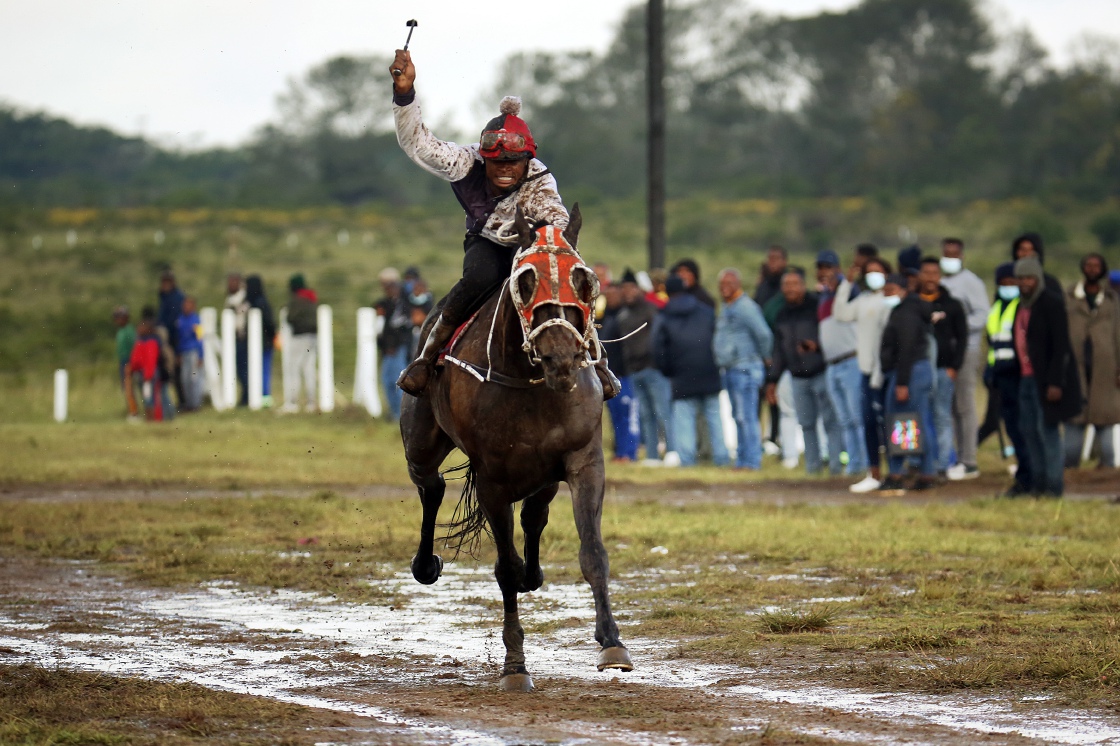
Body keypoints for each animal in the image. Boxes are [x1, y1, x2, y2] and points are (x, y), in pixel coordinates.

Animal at [400, 204, 631, 689]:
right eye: (525, 281)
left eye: (584, 280)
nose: (561, 356)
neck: (531, 382)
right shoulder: (492, 481)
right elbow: (504, 569)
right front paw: (514, 665)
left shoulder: (584, 461)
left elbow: (593, 552)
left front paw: (612, 643)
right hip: (421, 444)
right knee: (430, 486)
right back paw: (426, 564)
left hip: (544, 476)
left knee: (534, 515)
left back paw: (534, 571)